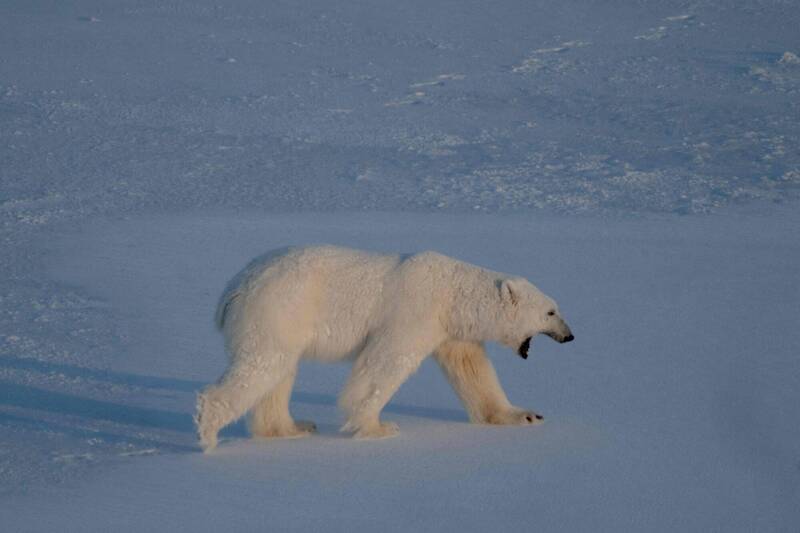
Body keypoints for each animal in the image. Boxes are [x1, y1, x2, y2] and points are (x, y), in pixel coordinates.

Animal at [195, 245, 573, 451]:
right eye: (550, 312)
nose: (570, 336)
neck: (452, 293)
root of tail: (233, 288)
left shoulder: (451, 330)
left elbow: (472, 370)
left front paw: (525, 415)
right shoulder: (415, 311)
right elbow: (386, 362)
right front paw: (378, 427)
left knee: (279, 372)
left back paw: (292, 427)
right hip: (279, 309)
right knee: (262, 365)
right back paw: (209, 431)